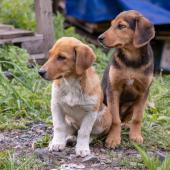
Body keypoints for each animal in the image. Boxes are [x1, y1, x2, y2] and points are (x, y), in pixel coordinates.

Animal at [98, 10, 155, 147]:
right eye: (111, 24)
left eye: (121, 26)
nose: (99, 38)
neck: (131, 59)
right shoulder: (113, 90)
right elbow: (115, 119)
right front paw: (113, 139)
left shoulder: (143, 92)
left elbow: (137, 118)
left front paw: (135, 136)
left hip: (133, 104)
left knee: (127, 118)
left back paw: (126, 125)